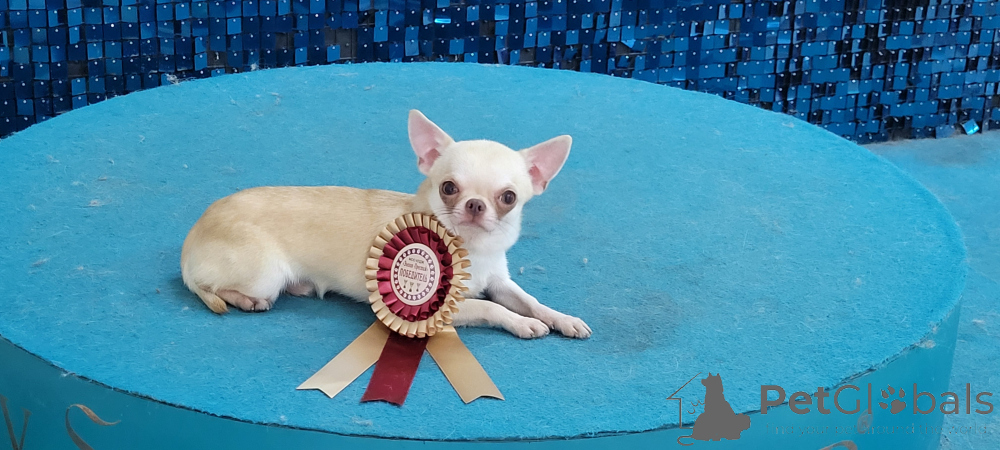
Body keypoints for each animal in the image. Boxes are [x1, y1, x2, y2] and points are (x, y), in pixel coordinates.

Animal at [180, 110, 591, 339]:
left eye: (508, 198)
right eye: (448, 188)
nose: (475, 205)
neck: (472, 249)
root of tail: (191, 242)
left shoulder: (500, 283)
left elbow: (530, 301)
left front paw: (562, 319)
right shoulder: (442, 309)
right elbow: (492, 309)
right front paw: (521, 323)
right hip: (264, 275)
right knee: (213, 287)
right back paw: (246, 300)